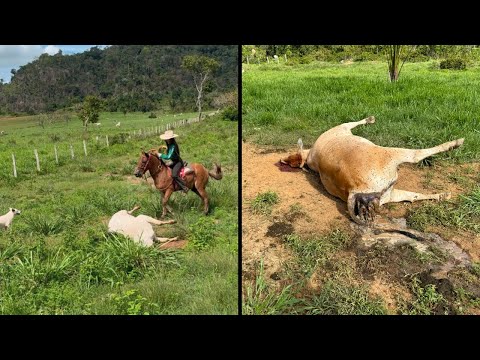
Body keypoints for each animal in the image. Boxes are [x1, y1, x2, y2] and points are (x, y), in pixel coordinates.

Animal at [282, 116, 464, 224]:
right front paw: (455, 143)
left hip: (384, 193)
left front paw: (443, 195)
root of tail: (353, 190)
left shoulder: (390, 192)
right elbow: (419, 155)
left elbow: (414, 195)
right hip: (383, 150)